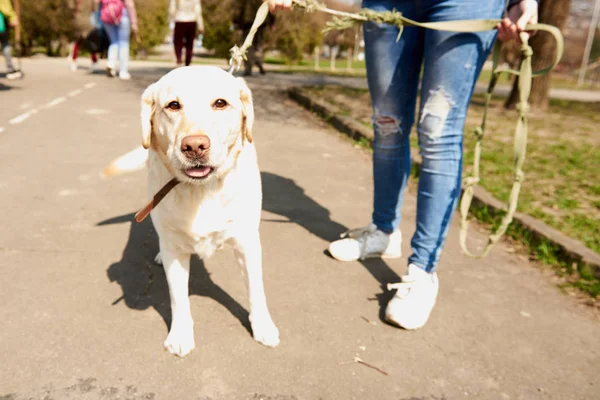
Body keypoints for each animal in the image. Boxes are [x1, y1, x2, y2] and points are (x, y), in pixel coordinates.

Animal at [105, 65, 278, 356]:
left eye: (220, 103)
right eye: (173, 105)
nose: (195, 146)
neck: (202, 190)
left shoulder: (247, 243)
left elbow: (256, 289)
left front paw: (263, 327)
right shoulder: (175, 251)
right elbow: (178, 298)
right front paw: (180, 335)